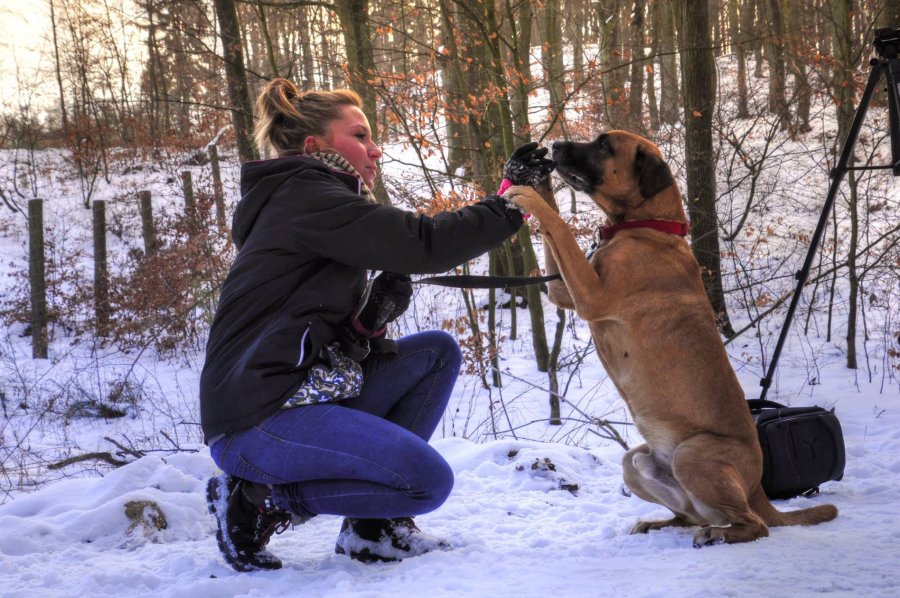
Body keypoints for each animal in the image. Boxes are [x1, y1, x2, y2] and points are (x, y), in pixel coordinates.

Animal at [506, 132, 836, 548]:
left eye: (604, 146)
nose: (557, 145)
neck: (647, 225)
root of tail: (758, 491)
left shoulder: (591, 297)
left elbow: (559, 228)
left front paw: (528, 196)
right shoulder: (565, 292)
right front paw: (538, 180)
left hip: (693, 455)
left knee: (752, 525)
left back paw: (716, 534)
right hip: (635, 462)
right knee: (688, 515)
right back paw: (659, 524)